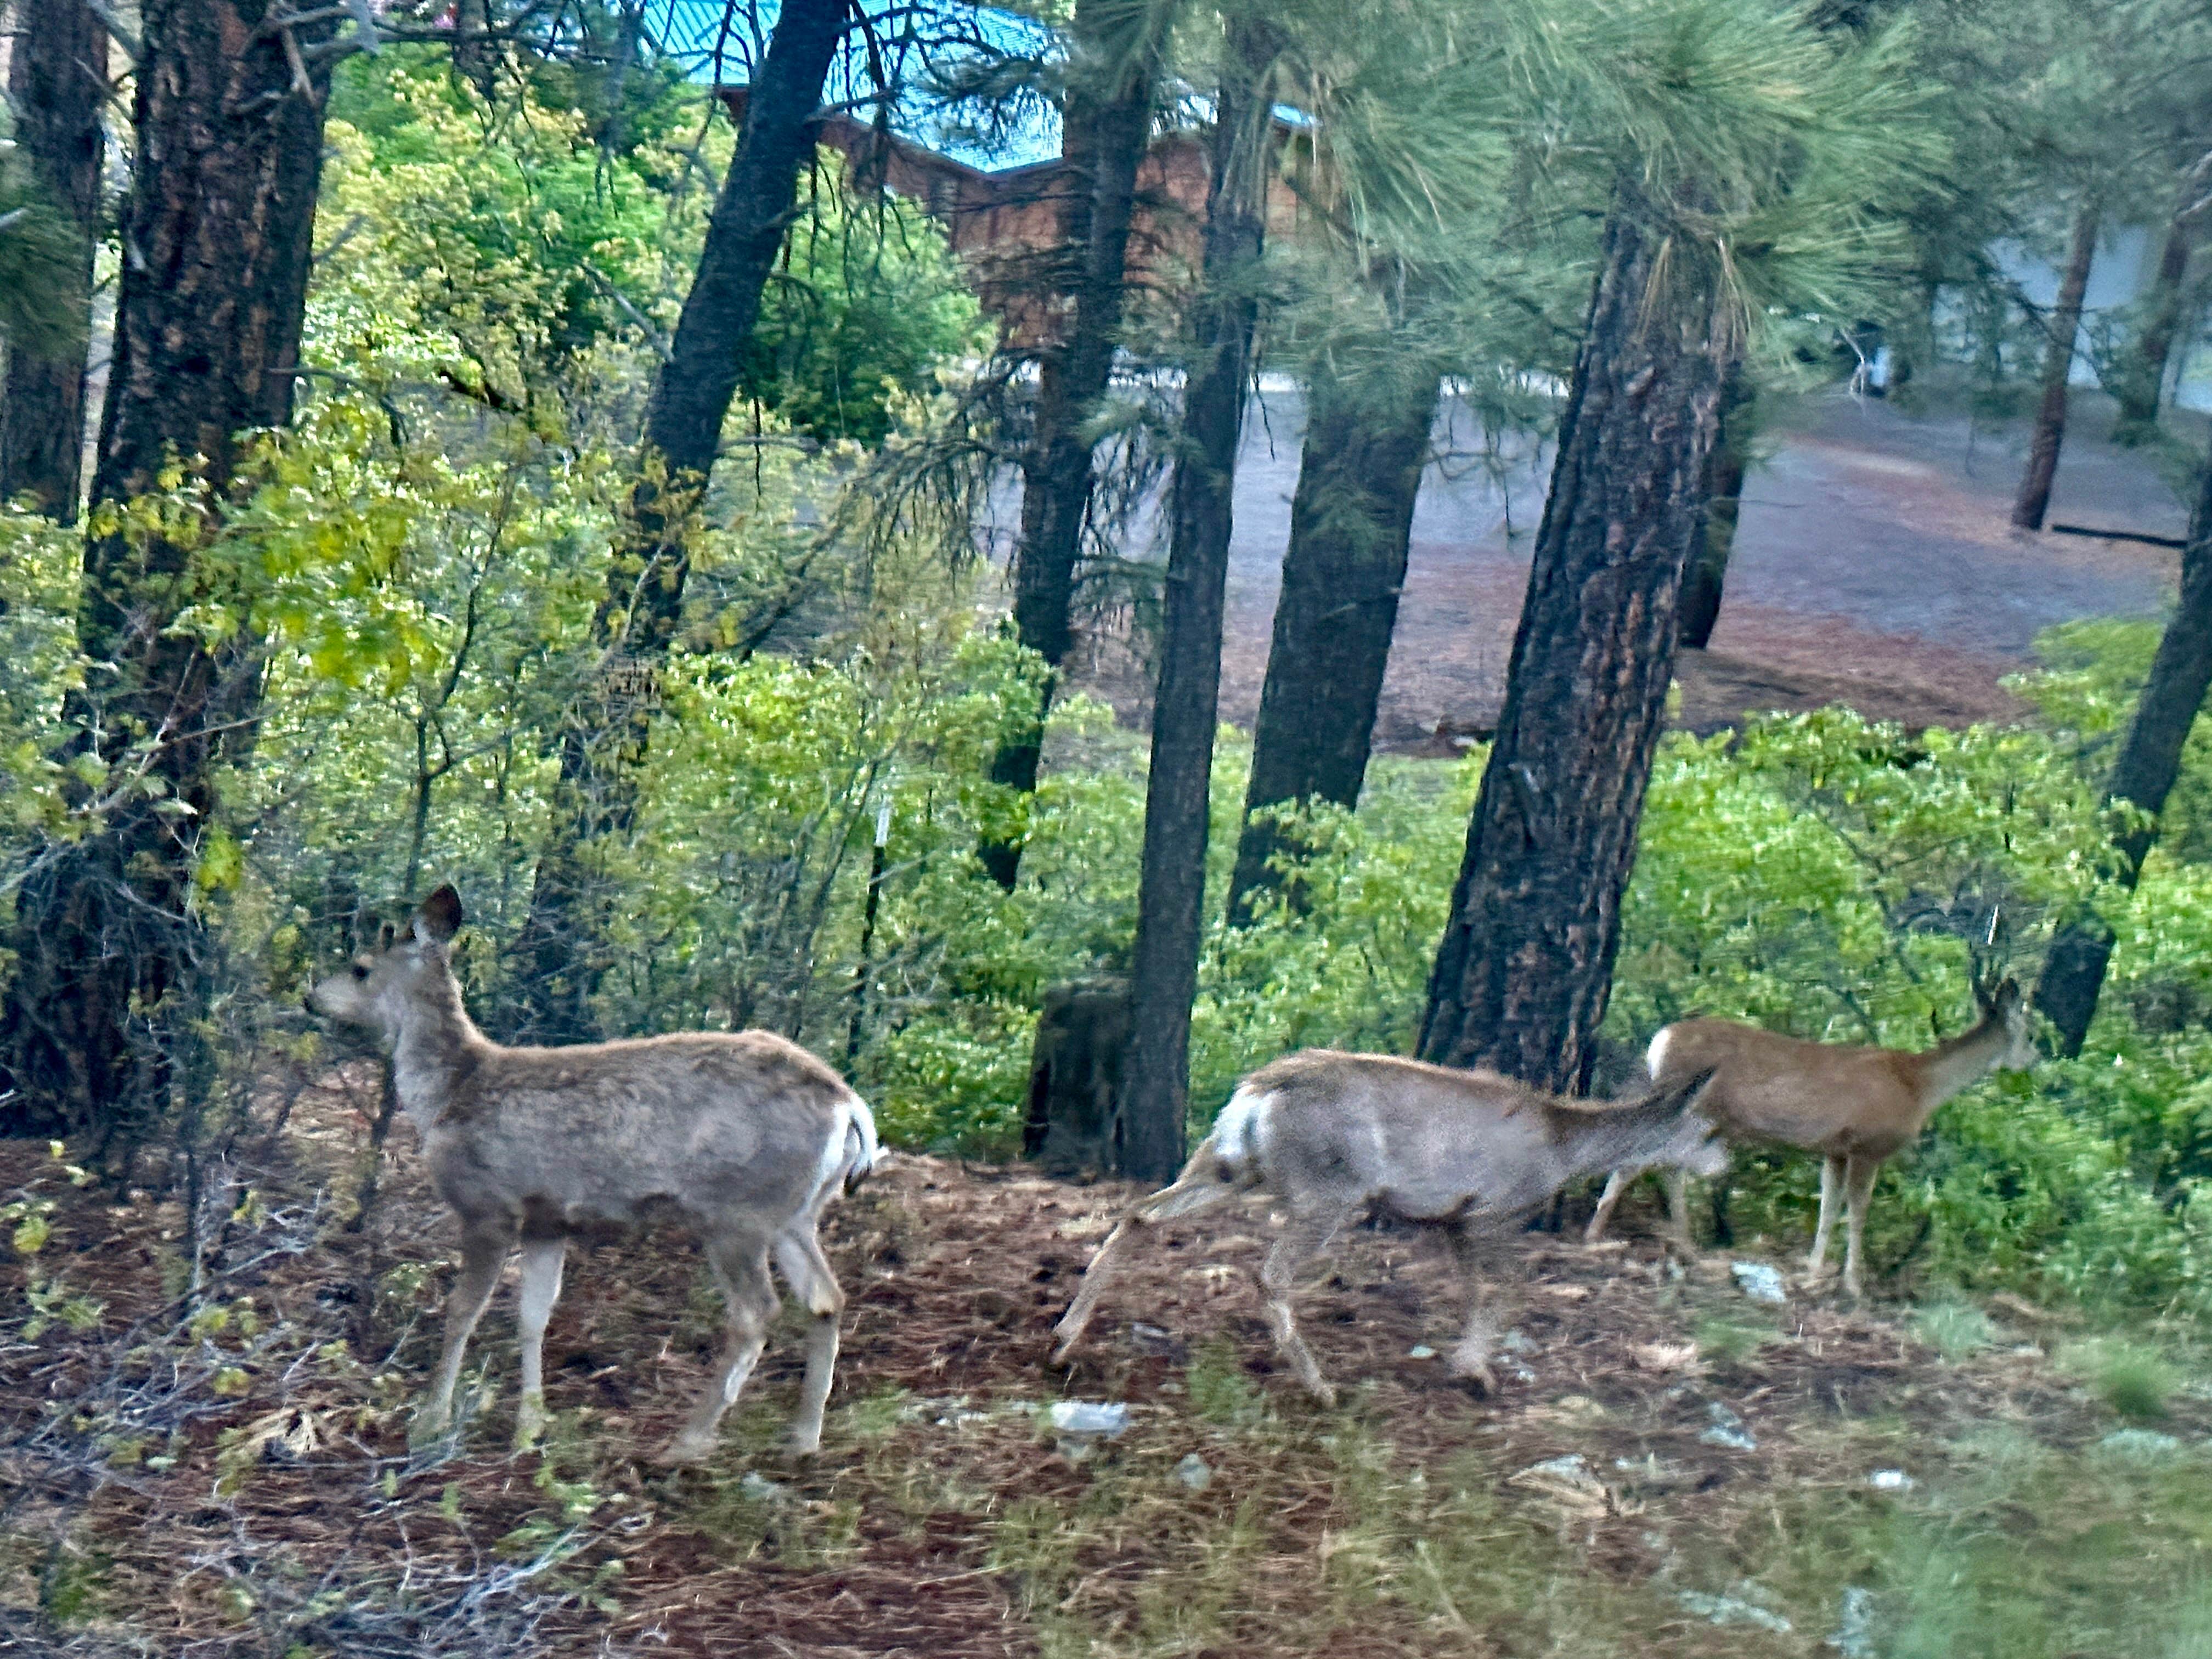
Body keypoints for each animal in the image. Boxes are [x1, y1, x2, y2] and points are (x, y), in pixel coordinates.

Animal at [303, 889, 871, 1460]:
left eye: (360, 967)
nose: (311, 998)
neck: (448, 1094)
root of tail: (849, 1104)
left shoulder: (489, 1204)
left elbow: (464, 1309)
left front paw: (430, 1422)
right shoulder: (547, 1222)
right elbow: (533, 1317)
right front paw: (530, 1426)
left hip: (739, 1213)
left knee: (757, 1314)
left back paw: (687, 1442)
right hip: (795, 1215)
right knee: (827, 1299)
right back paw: (803, 1437)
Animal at [1044, 1053, 1716, 1407]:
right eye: (1709, 1131)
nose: (1722, 1165)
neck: (1561, 1147)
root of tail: (1256, 1095)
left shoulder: (1452, 1221)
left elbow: (1475, 1291)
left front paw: (1466, 1363)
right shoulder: (1492, 1211)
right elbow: (1508, 1291)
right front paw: (1477, 1371)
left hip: (1226, 1164)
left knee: (1139, 1213)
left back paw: (1064, 1340)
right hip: (1328, 1190)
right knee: (1269, 1273)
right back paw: (1322, 1387)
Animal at [1583, 982, 2026, 1309]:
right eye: (2032, 1032)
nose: (2033, 1059)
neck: (1918, 1087)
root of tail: (1660, 1040)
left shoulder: (1836, 1149)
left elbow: (1829, 1206)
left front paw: (1813, 1269)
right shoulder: (1868, 1145)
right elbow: (1858, 1211)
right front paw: (1853, 1284)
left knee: (1667, 1167)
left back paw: (1685, 1246)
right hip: (1688, 1106)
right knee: (1642, 1160)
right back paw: (1598, 1234)